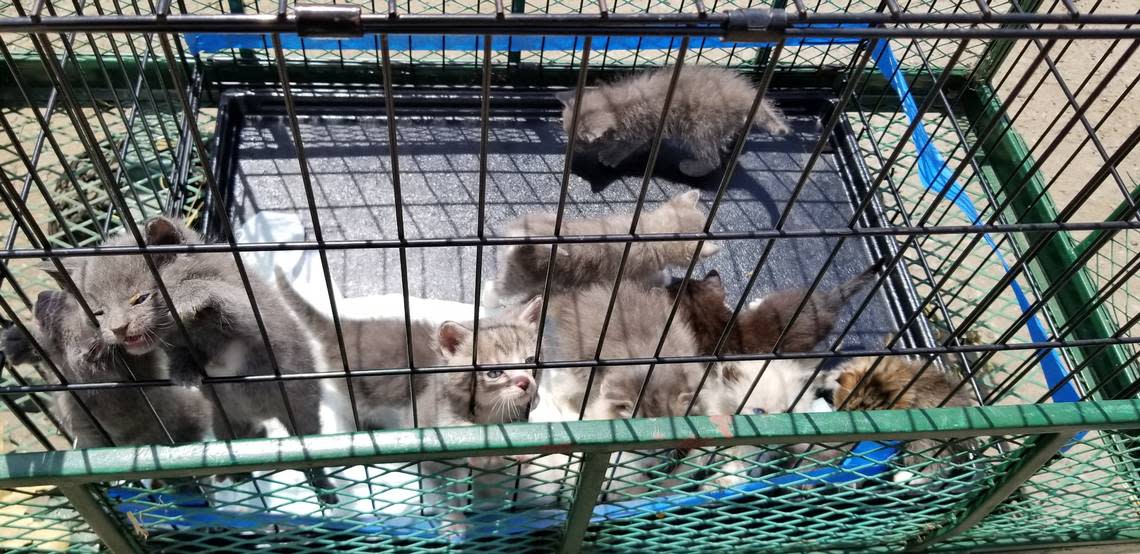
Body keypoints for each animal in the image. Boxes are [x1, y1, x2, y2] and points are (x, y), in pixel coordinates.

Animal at [40, 218, 339, 503]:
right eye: (98, 312)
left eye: (140, 298)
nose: (118, 329)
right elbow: (180, 353)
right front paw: (183, 371)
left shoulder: (257, 312)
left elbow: (237, 305)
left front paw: (188, 295)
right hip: (225, 421)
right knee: (250, 435)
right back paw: (234, 471)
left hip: (300, 407)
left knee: (309, 445)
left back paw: (324, 487)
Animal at [485, 190, 715, 307]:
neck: (648, 233)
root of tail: (519, 237)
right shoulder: (638, 275)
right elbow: (656, 277)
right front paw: (666, 277)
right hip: (518, 278)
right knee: (495, 288)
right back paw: (490, 302)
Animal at [554, 64, 788, 177]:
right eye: (565, 132)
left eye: (579, 140)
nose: (569, 147)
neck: (616, 104)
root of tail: (744, 94)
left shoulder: (639, 128)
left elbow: (627, 145)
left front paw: (610, 156)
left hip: (701, 128)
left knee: (713, 159)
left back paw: (692, 168)